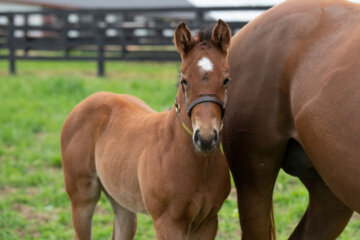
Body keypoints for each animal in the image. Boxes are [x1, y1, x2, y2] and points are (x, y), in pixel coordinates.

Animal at [60, 19, 231, 239]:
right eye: (184, 80)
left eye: (226, 79)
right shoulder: (168, 222)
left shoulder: (208, 222)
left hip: (121, 199)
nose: (206, 138)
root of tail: (91, 98)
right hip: (82, 196)